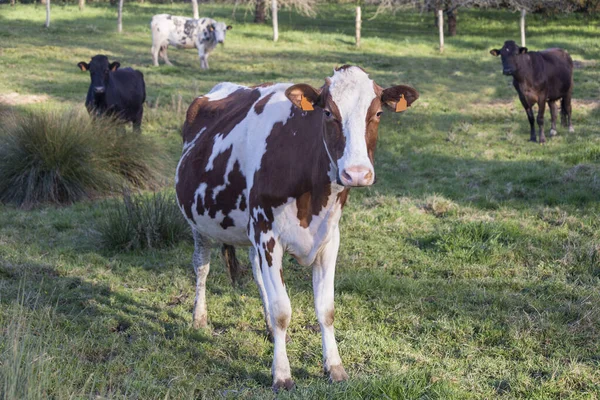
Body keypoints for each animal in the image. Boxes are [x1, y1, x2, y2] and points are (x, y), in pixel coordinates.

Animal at [173, 65, 418, 390]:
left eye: (377, 113)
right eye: (327, 112)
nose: (356, 174)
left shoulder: (329, 239)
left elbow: (326, 309)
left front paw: (334, 367)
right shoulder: (268, 235)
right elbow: (282, 310)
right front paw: (281, 374)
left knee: (257, 275)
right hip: (199, 224)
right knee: (202, 267)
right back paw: (199, 319)